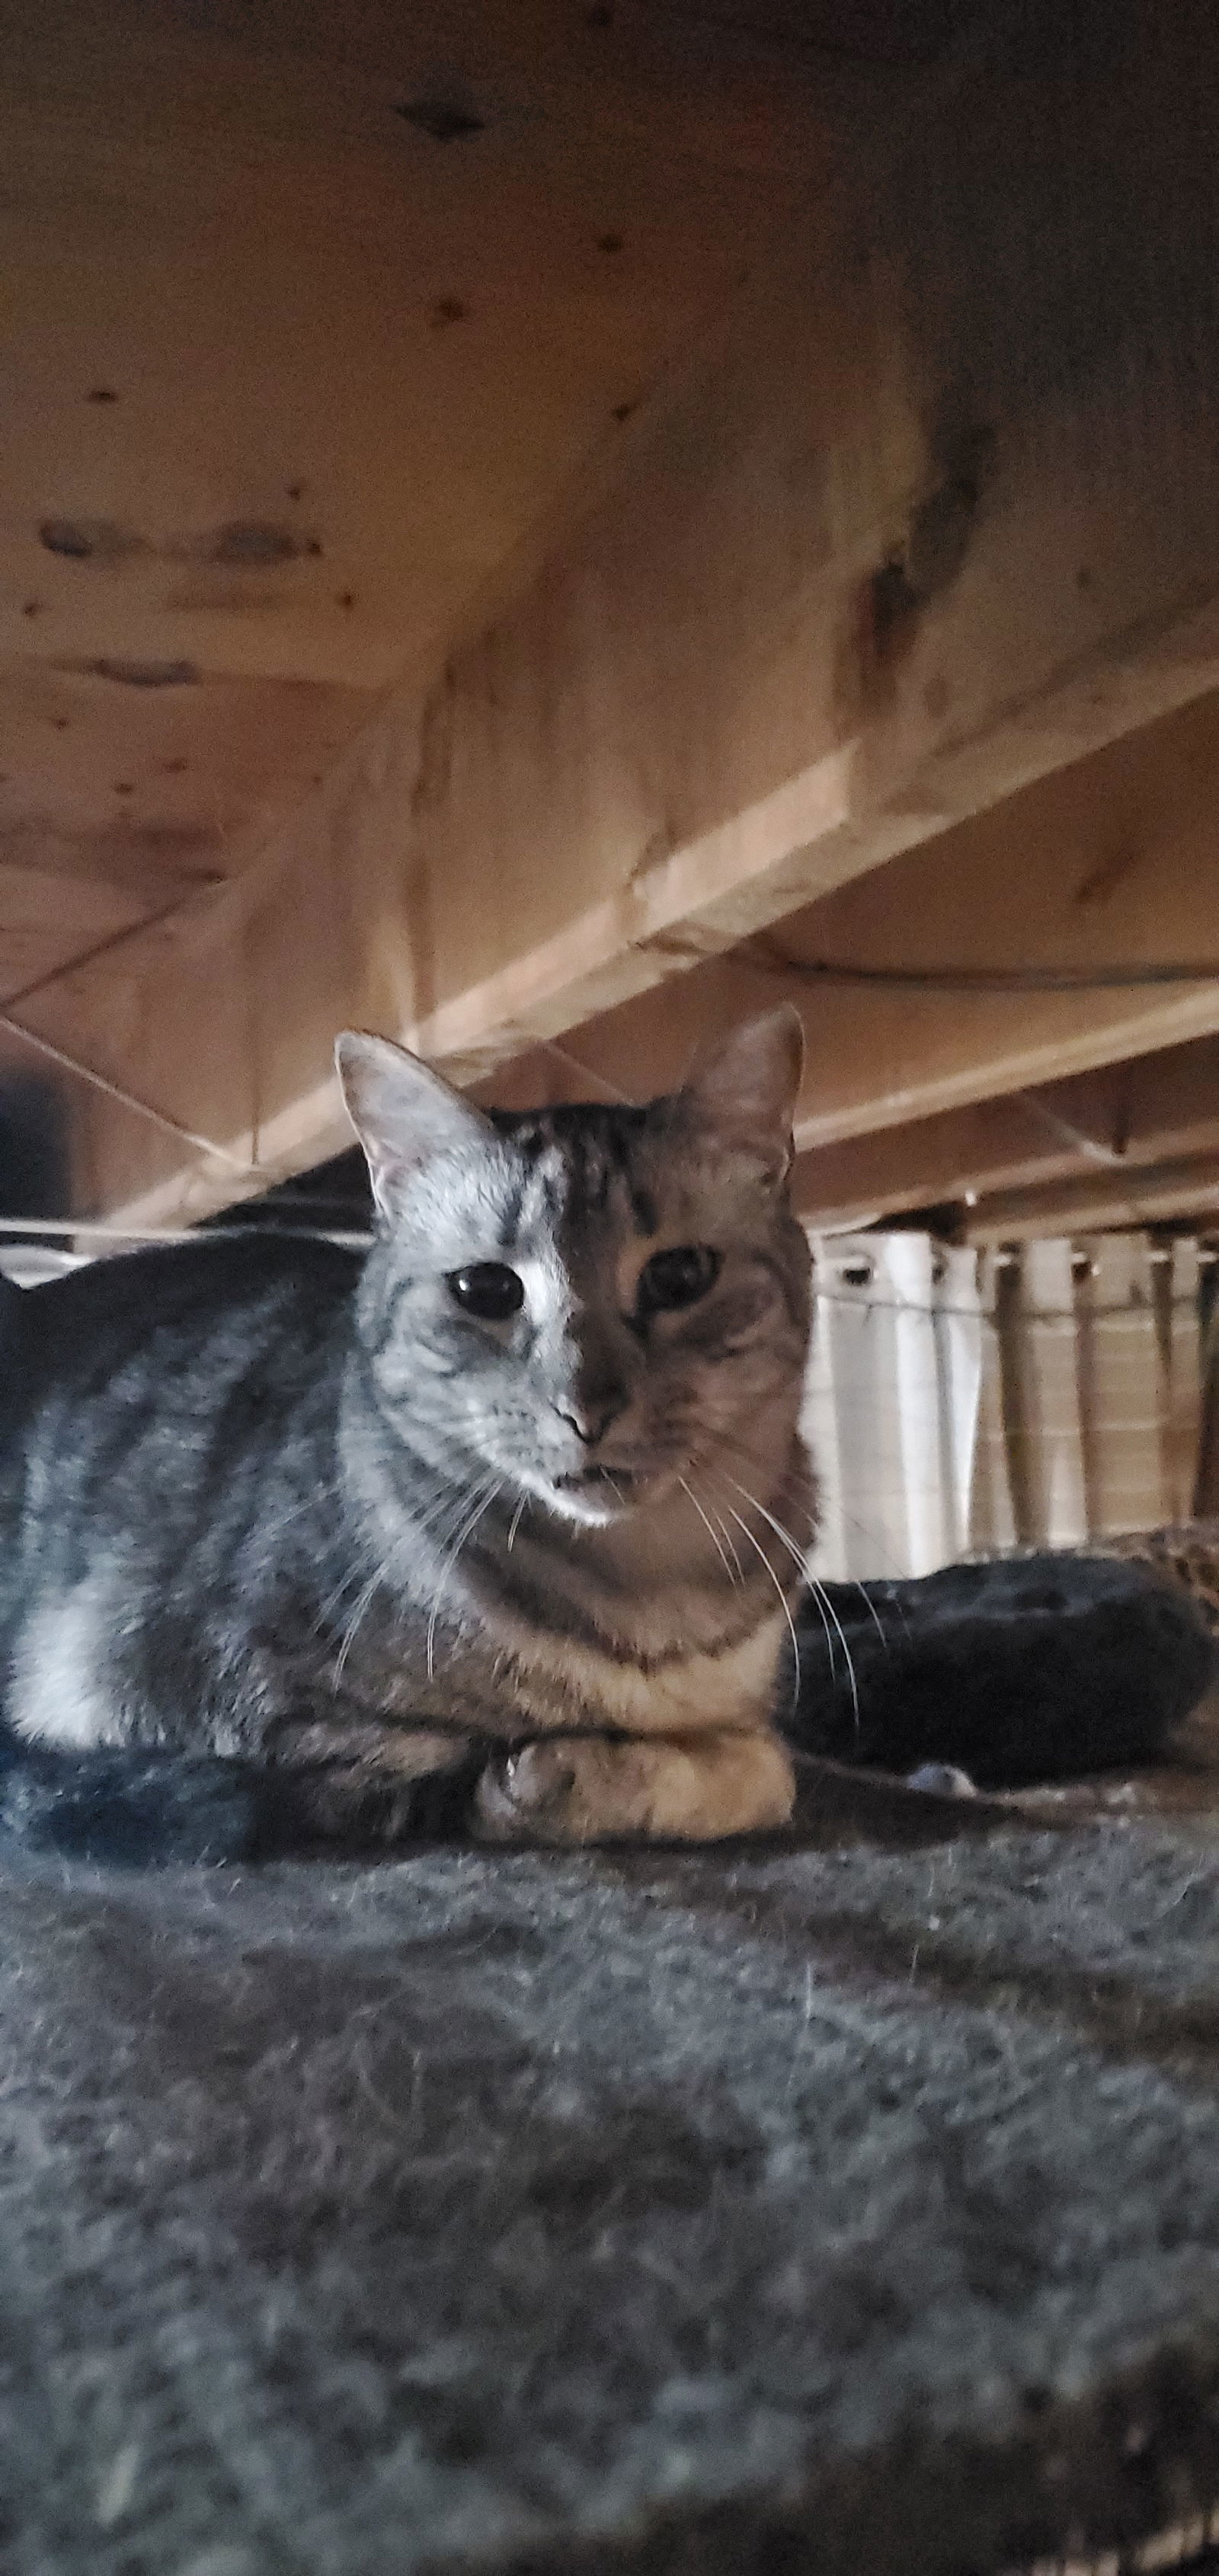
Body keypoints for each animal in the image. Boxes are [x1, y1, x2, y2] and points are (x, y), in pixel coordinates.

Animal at [2, 1015, 819, 1844]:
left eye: (680, 1276)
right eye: (486, 1289)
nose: (584, 1406)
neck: (653, 1588)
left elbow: (766, 1768)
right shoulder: (274, 1725)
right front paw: (561, 1781)